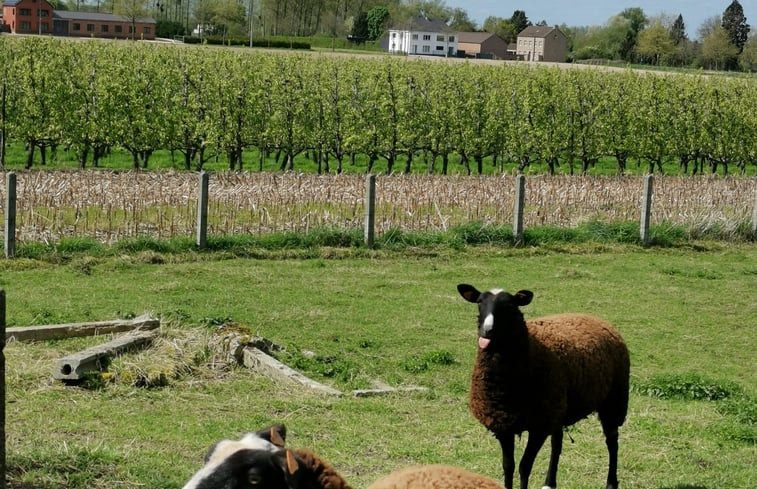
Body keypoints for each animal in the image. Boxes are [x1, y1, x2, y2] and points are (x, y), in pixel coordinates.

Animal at [458, 282, 628, 488]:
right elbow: (508, 465)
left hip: (614, 399)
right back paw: (549, 483)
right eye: (479, 303)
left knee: (612, 442)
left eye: (509, 306)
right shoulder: (502, 424)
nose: (487, 331)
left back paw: (611, 482)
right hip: (559, 409)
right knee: (557, 443)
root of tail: (596, 318)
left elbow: (524, 466)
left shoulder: (539, 425)